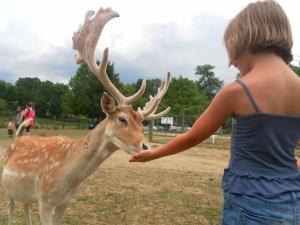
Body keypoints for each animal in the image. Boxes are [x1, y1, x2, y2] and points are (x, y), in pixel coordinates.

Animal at [1, 7, 171, 225]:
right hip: (7, 187)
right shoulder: (45, 200)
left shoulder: (65, 202)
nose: (145, 147)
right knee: (11, 207)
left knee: (25, 207)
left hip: (27, 194)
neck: (69, 177)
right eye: (122, 119)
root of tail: (16, 138)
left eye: (142, 124)